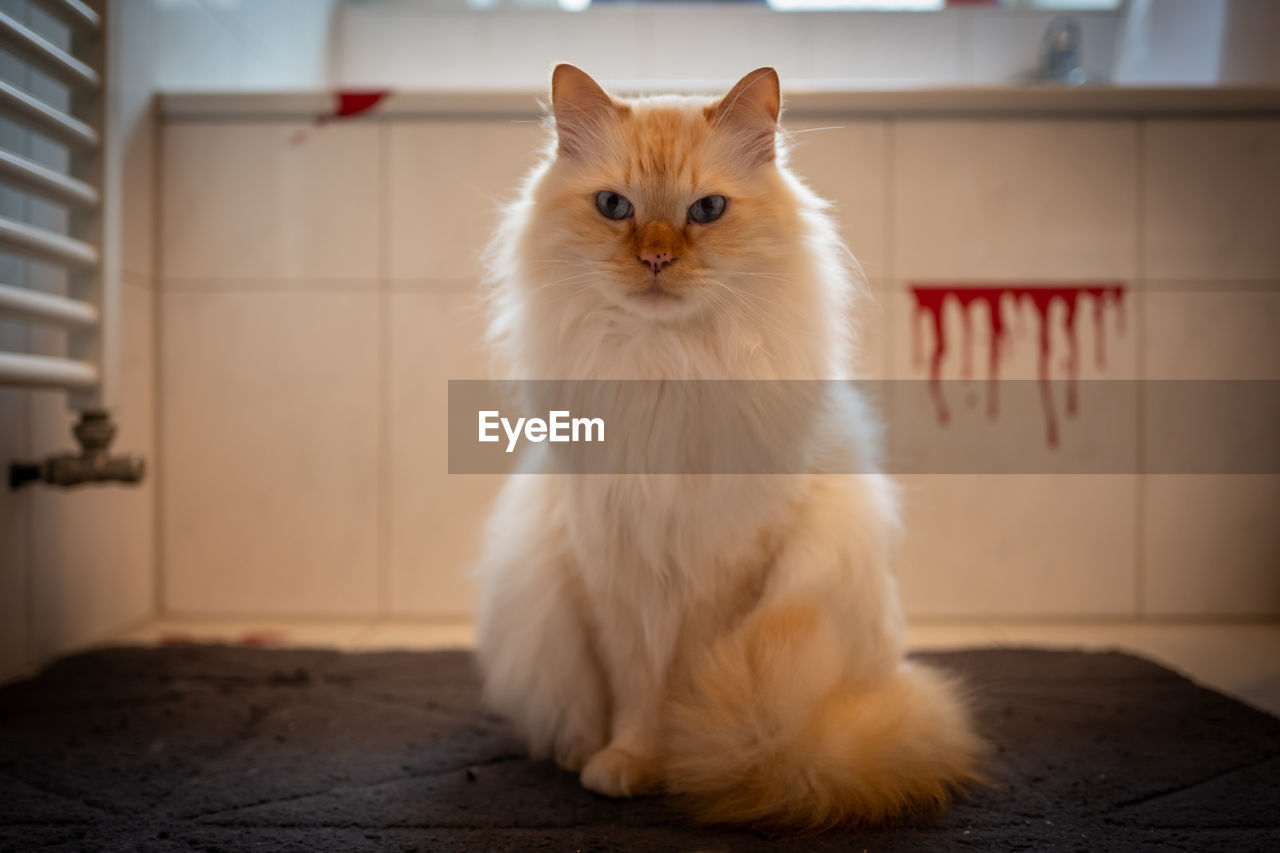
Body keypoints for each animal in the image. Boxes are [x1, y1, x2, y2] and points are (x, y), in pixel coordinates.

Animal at [476, 64, 983, 824]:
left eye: (708, 210)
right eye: (614, 207)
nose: (656, 257)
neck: (666, 369)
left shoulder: (722, 569)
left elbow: (687, 684)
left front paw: (682, 767)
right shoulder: (614, 572)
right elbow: (635, 691)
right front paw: (627, 762)